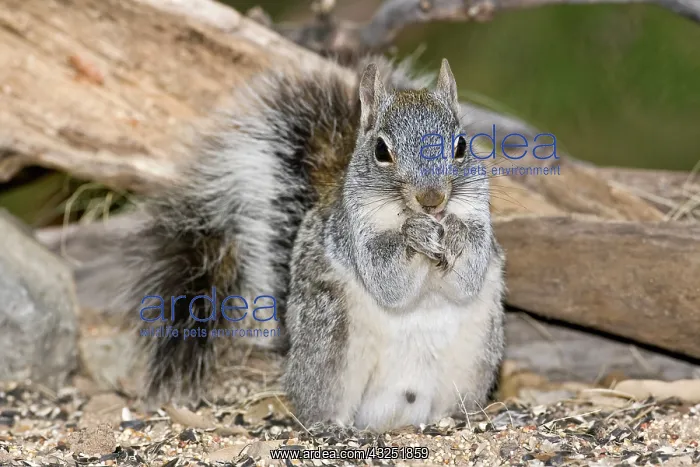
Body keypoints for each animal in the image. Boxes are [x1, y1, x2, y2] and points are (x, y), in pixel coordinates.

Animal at [120, 56, 505, 432]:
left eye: (461, 145)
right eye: (381, 150)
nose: (432, 200)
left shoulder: (479, 222)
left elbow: (468, 277)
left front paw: (454, 232)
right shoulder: (353, 235)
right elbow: (388, 282)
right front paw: (415, 234)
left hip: (475, 358)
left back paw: (456, 418)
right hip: (332, 341)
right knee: (318, 405)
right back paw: (332, 425)